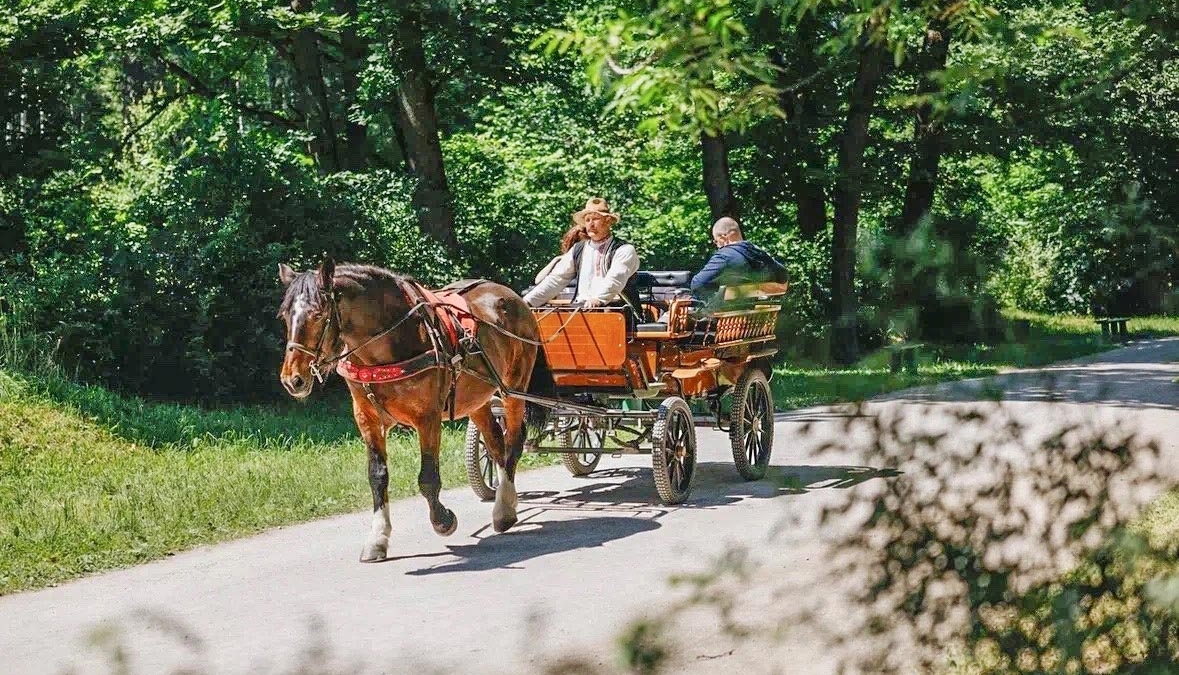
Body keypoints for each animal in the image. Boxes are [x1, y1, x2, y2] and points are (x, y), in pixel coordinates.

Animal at [278, 260, 549, 560]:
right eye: (285, 316)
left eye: (317, 315)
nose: (292, 379)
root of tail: (512, 297)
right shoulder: (366, 418)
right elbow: (377, 476)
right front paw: (378, 538)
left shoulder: (427, 417)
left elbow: (428, 477)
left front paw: (442, 520)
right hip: (476, 398)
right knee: (495, 444)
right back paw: (505, 503)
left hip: (513, 388)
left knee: (513, 442)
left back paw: (504, 510)